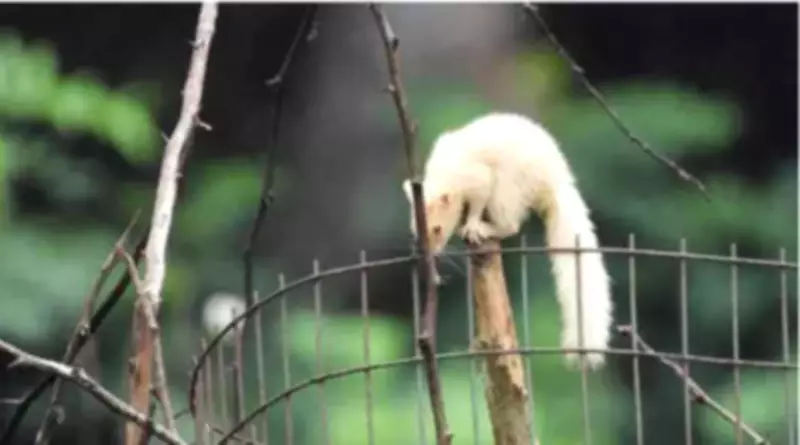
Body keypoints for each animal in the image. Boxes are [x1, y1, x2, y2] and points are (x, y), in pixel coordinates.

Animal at [402, 112, 613, 369]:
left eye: (437, 229)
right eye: (415, 230)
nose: (431, 255)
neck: (446, 175)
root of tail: (555, 183)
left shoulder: (479, 179)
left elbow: (478, 201)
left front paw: (471, 224)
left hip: (506, 192)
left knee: (510, 224)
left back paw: (485, 228)